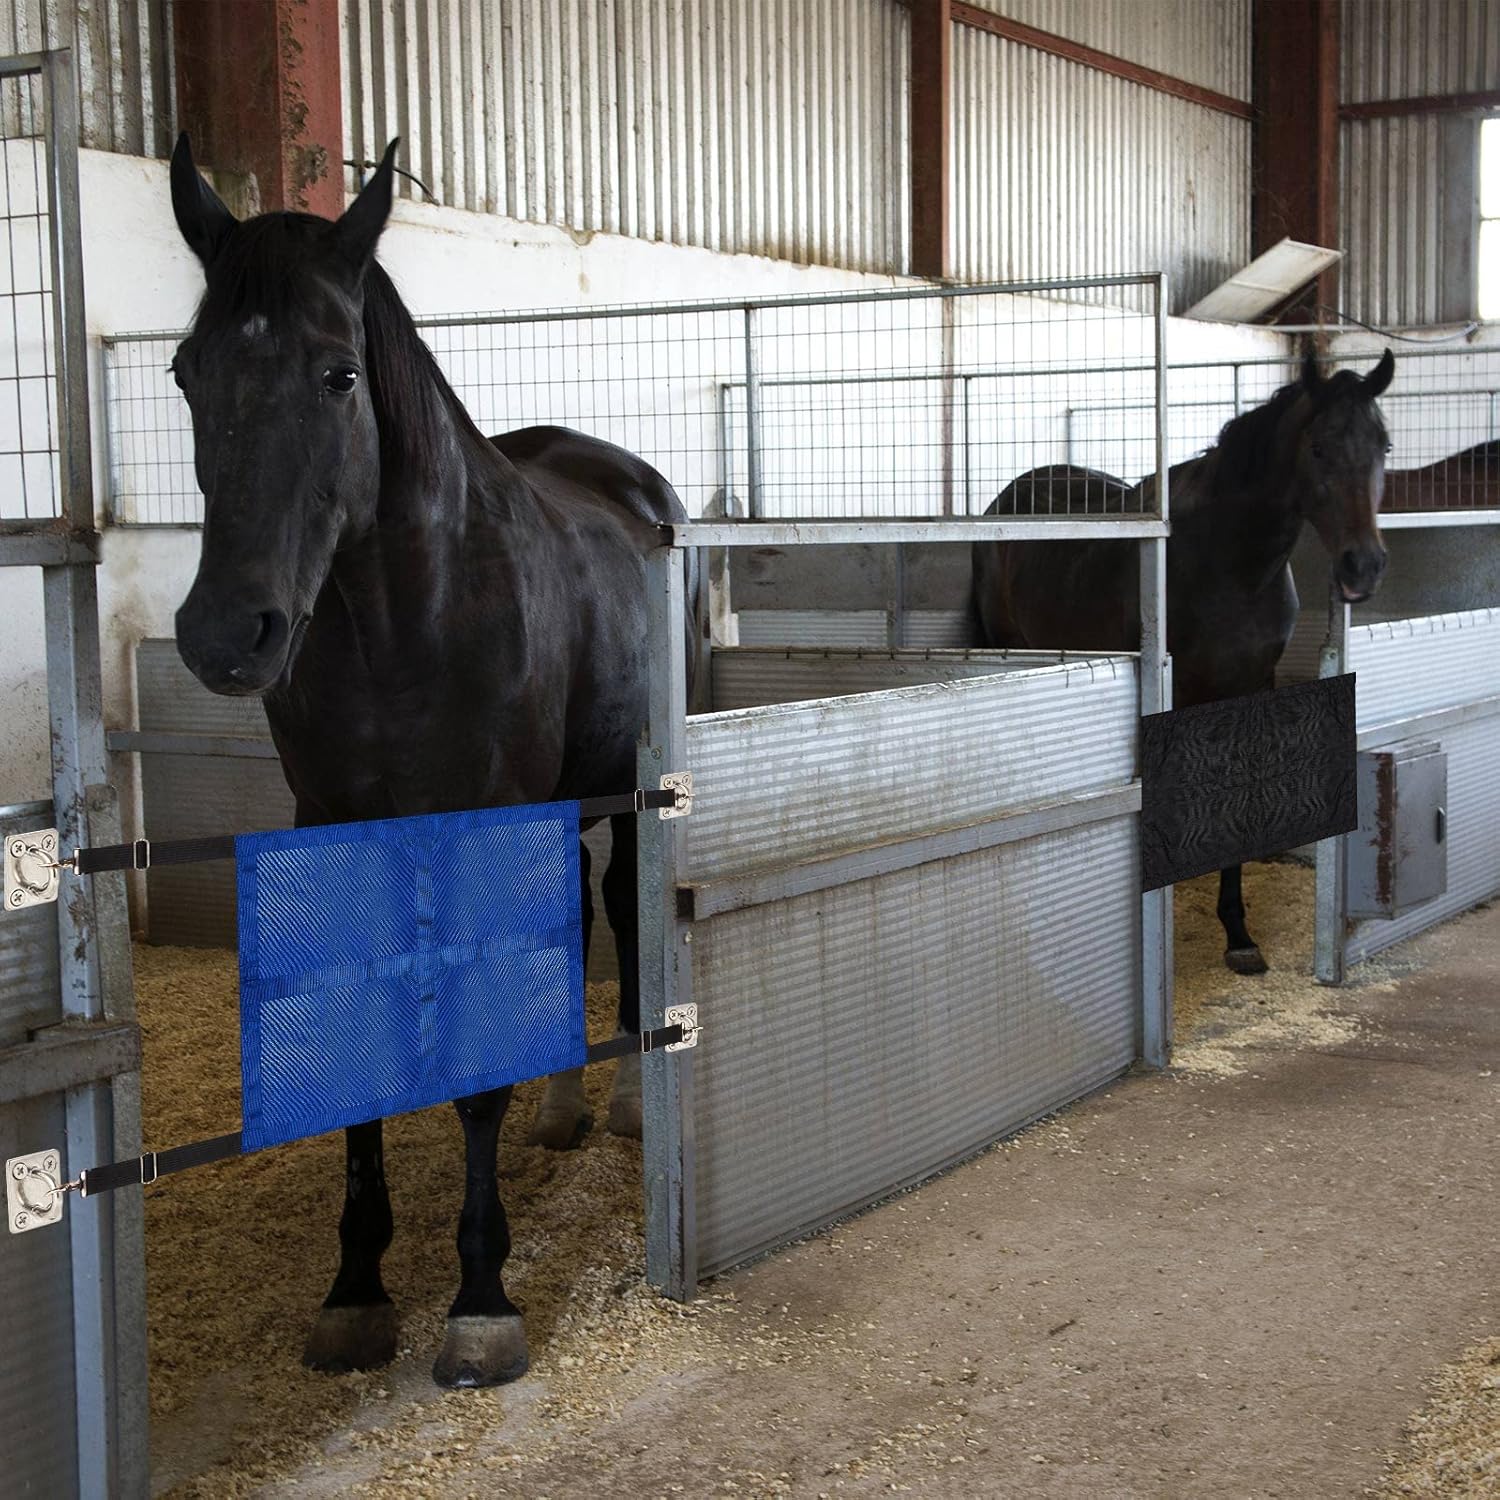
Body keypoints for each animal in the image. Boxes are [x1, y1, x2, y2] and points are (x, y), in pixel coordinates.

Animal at [168, 135, 698, 1388]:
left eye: (337, 375)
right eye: (184, 373)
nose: (226, 634)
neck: (402, 616)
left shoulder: (478, 819)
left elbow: (474, 1082)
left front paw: (481, 1300)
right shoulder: (335, 825)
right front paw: (356, 1289)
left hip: (617, 792)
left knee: (620, 906)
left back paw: (623, 1104)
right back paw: (565, 1105)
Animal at [972, 350, 1395, 974]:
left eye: (1383, 445)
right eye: (1318, 448)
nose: (1363, 566)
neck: (1232, 563)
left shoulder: (1251, 687)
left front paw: (1239, 933)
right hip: (1015, 648)